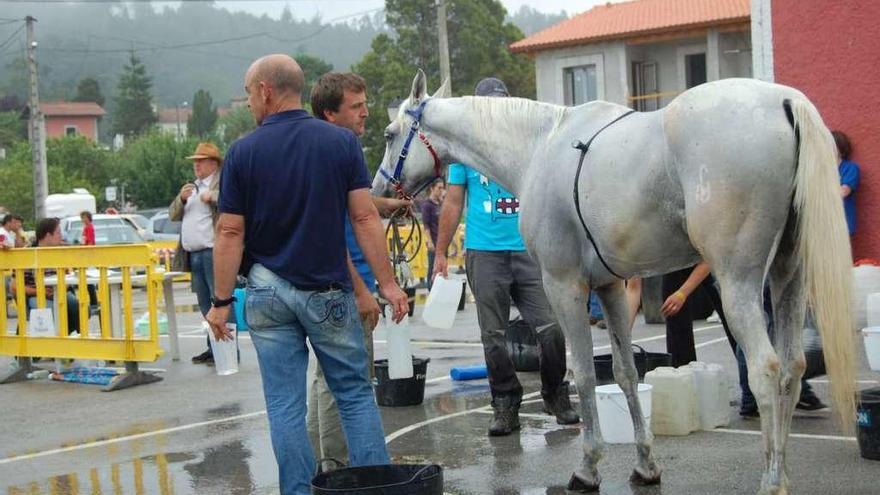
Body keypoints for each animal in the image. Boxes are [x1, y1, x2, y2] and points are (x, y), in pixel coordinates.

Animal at [374, 70, 856, 495]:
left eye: (390, 133)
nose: (380, 191)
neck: (539, 146)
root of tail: (784, 101)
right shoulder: (610, 288)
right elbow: (624, 373)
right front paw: (645, 464)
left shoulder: (564, 286)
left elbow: (585, 374)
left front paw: (588, 468)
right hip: (788, 277)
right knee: (792, 367)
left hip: (739, 283)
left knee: (766, 370)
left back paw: (772, 480)